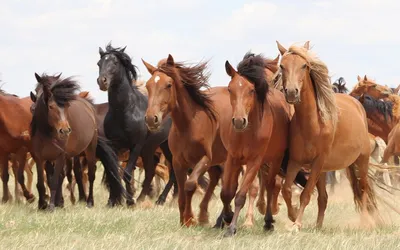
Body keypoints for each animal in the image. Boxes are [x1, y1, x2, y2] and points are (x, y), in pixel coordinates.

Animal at [30, 73, 123, 210]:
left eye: (67, 106)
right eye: (37, 90)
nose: (65, 130)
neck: (47, 132)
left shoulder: (60, 156)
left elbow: (55, 180)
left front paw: (53, 205)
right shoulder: (40, 158)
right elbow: (42, 182)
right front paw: (42, 204)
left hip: (90, 150)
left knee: (91, 175)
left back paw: (89, 201)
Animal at [217, 52, 308, 236]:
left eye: (251, 90)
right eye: (230, 89)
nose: (239, 121)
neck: (248, 131)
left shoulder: (255, 161)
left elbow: (240, 195)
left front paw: (232, 228)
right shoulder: (233, 158)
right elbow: (226, 192)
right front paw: (228, 217)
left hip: (275, 160)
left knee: (271, 186)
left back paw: (268, 222)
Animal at [276, 41, 376, 230]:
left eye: (304, 65)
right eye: (282, 66)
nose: (292, 92)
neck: (313, 124)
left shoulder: (318, 161)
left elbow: (306, 193)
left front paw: (297, 224)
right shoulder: (295, 161)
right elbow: (286, 190)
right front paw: (293, 216)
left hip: (362, 161)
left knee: (363, 189)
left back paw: (366, 222)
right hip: (324, 170)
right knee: (323, 198)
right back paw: (318, 225)